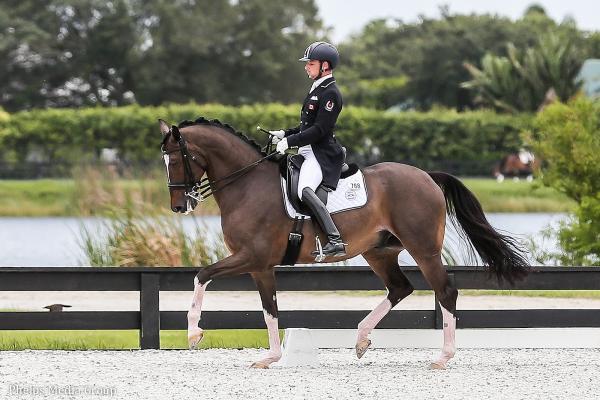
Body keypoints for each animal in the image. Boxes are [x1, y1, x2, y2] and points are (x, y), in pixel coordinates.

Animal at [159, 117, 528, 370]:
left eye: (176, 159)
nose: (179, 206)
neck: (247, 184)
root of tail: (426, 176)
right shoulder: (260, 266)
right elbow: (269, 309)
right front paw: (272, 357)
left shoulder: (251, 257)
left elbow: (202, 275)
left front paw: (193, 334)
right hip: (379, 252)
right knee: (400, 288)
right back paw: (362, 338)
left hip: (423, 249)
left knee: (445, 291)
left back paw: (442, 357)